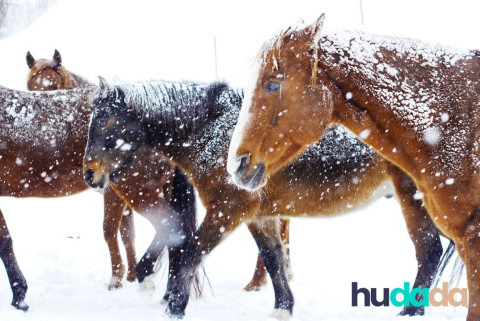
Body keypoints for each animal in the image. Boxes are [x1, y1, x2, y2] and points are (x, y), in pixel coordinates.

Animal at [26, 49, 280, 290]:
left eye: (54, 86)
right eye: (29, 86)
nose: (88, 173)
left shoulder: (116, 192)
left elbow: (110, 230)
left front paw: (117, 279)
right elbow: (127, 233)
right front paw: (129, 275)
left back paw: (256, 281)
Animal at [83, 78, 454, 318]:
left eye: (107, 119)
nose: (89, 173)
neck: (211, 131)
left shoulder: (227, 211)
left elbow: (189, 256)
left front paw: (175, 306)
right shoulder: (258, 215)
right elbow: (273, 260)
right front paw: (283, 309)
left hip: (416, 200)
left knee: (429, 251)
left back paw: (410, 311)